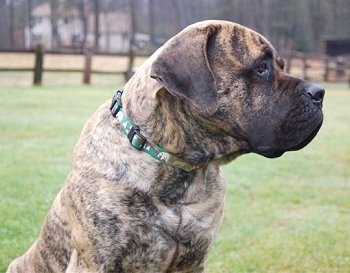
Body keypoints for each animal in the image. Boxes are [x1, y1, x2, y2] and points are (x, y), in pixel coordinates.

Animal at [7, 20, 326, 270]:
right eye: (260, 68)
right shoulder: (94, 260)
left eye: (280, 65)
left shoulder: (194, 259)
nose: (320, 92)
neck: (175, 168)